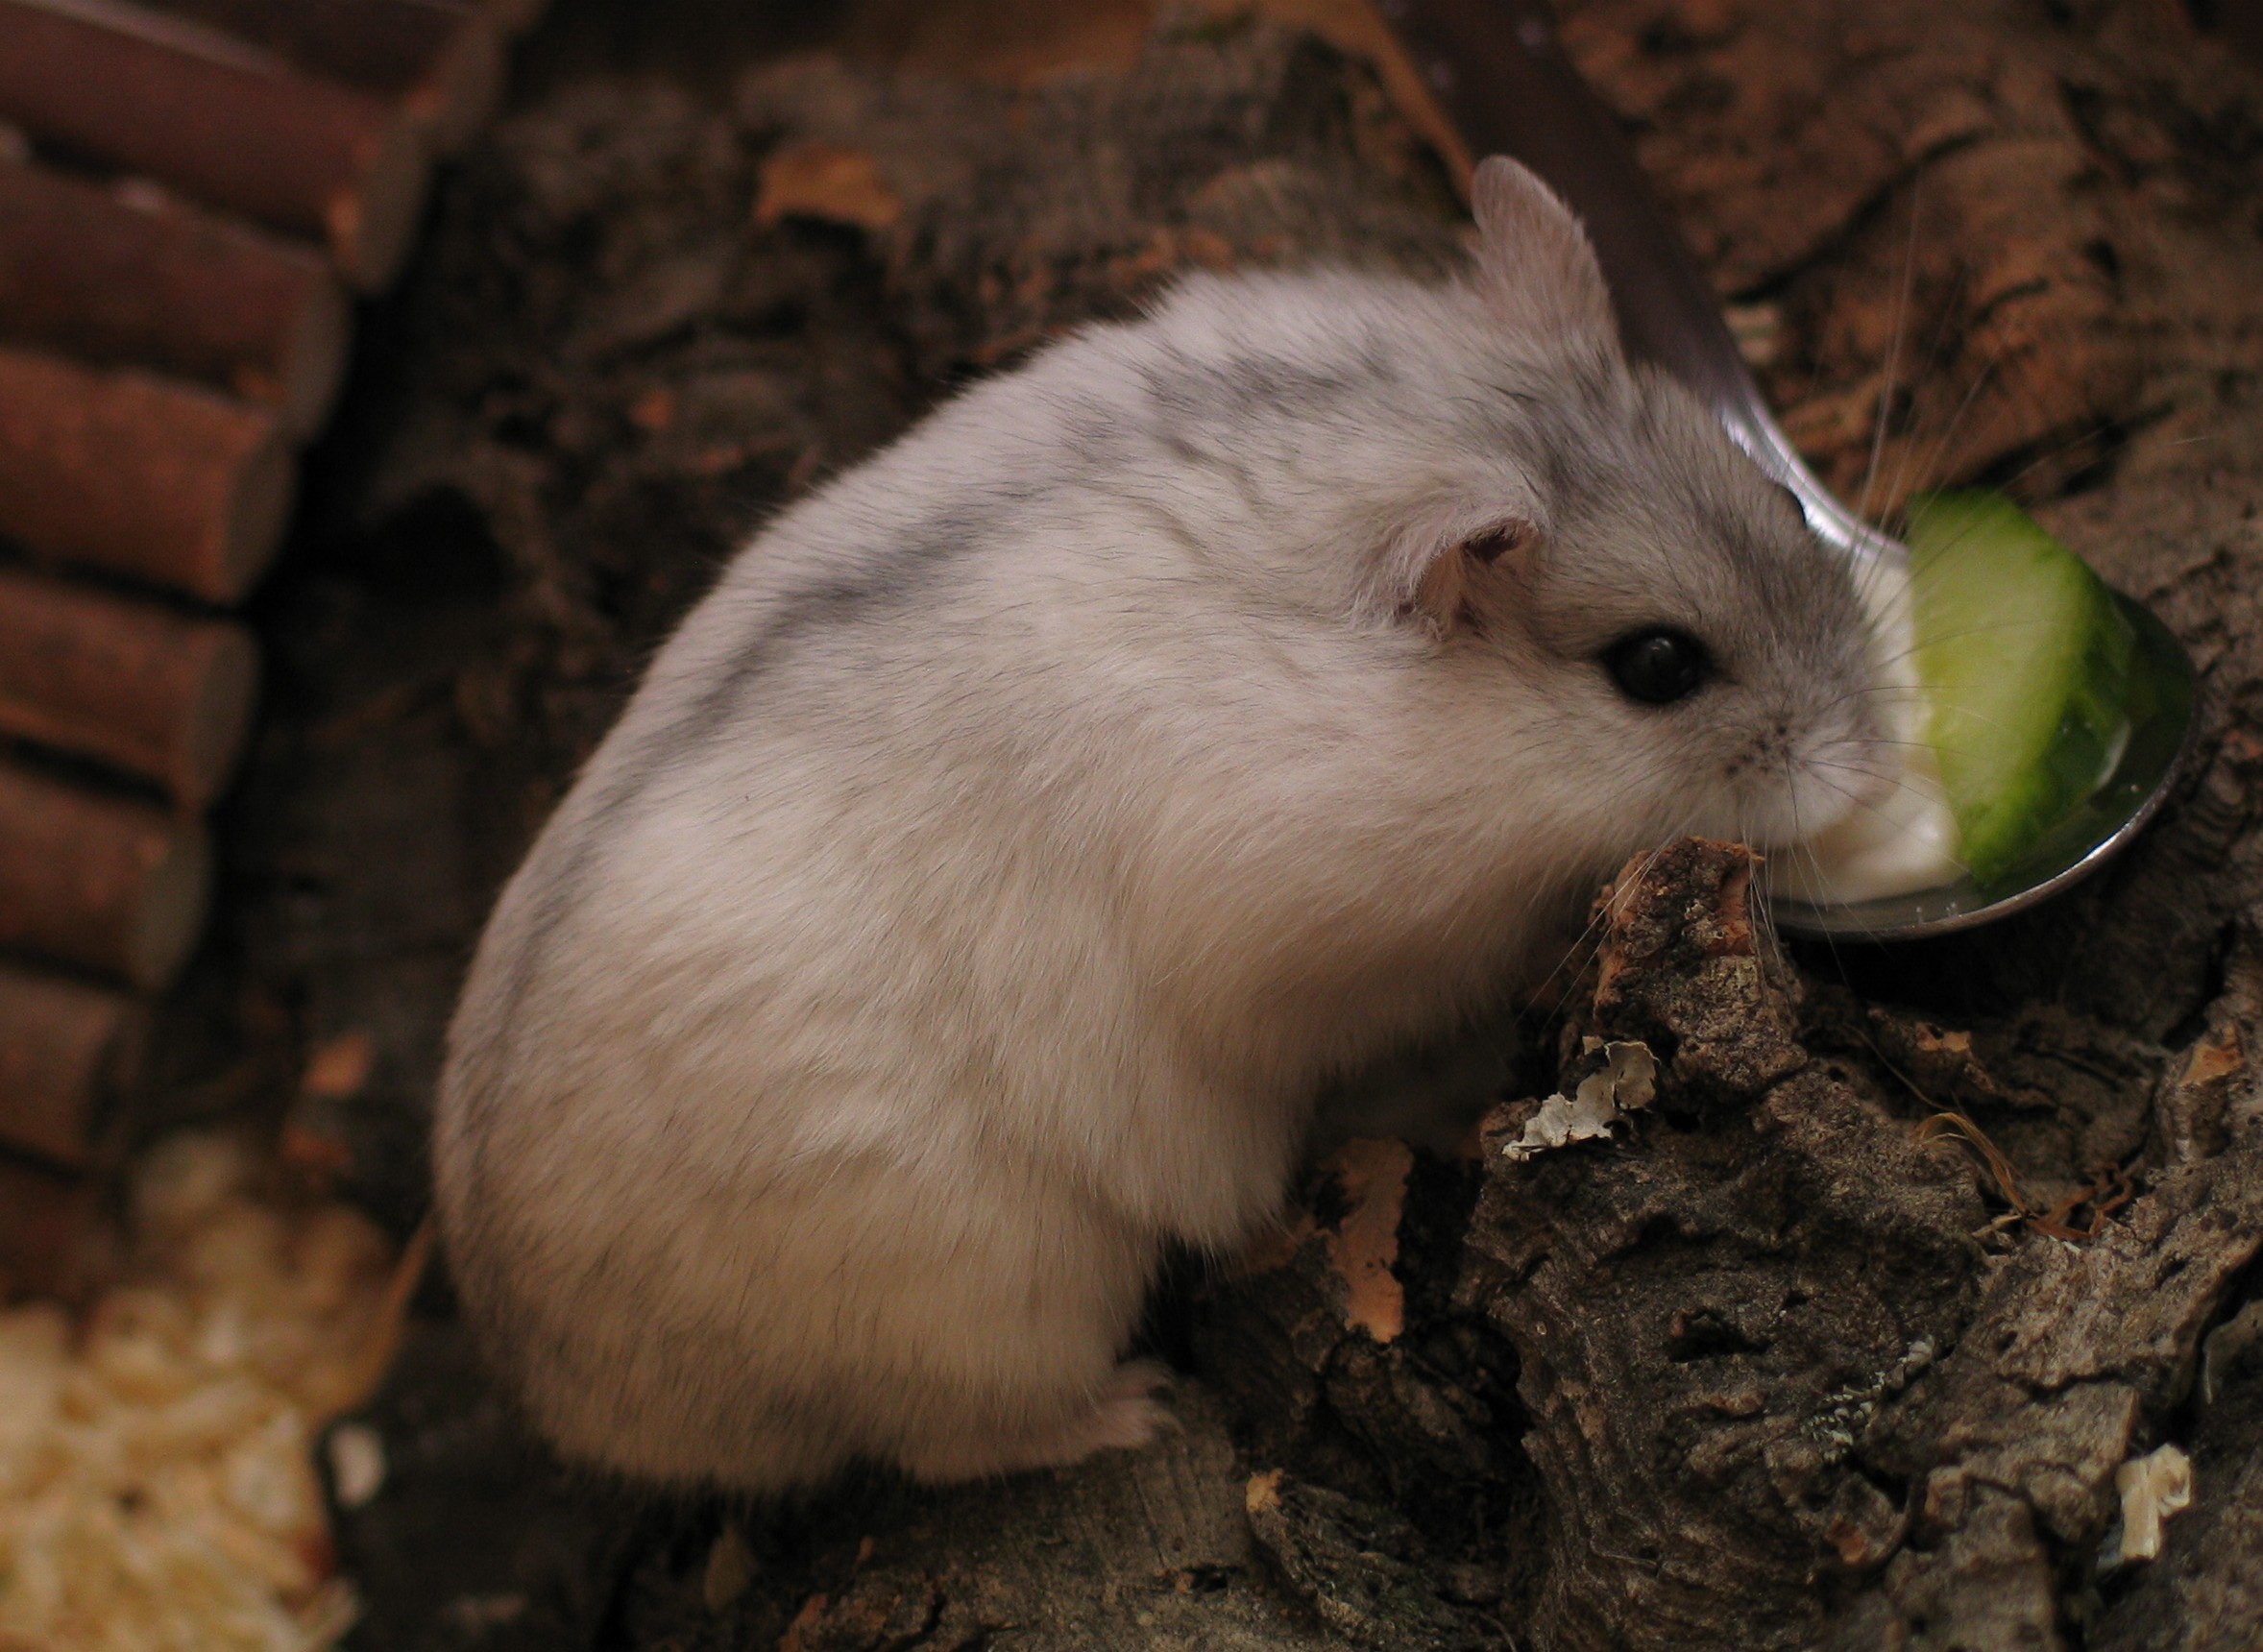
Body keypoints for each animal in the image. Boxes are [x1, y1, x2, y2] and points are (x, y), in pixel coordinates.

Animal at [433, 156, 1891, 1493]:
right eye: (1657, 666)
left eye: (1778, 503)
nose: (1875, 766)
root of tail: (553, 1390)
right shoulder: (1332, 958)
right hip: (990, 1303)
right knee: (952, 1441)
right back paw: (1136, 1411)